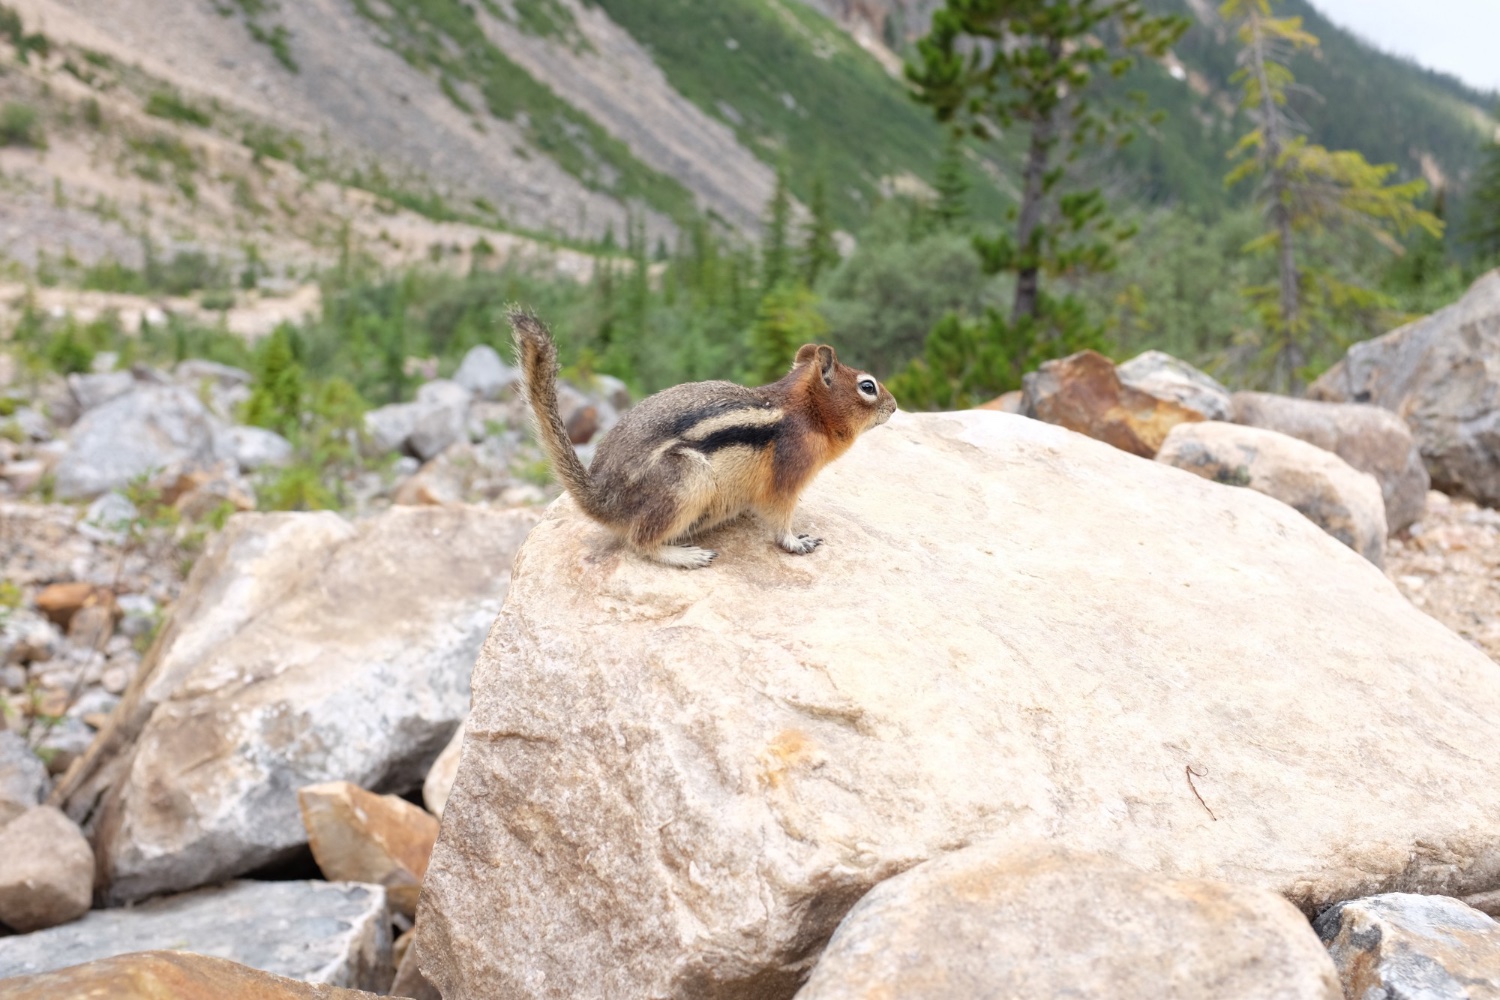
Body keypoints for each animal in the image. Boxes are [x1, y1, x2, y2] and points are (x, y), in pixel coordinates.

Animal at [510, 305, 894, 569]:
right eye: (868, 387)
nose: (893, 406)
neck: (806, 411)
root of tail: (602, 499)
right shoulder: (788, 475)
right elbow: (781, 517)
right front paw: (796, 542)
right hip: (688, 479)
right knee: (639, 541)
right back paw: (687, 556)